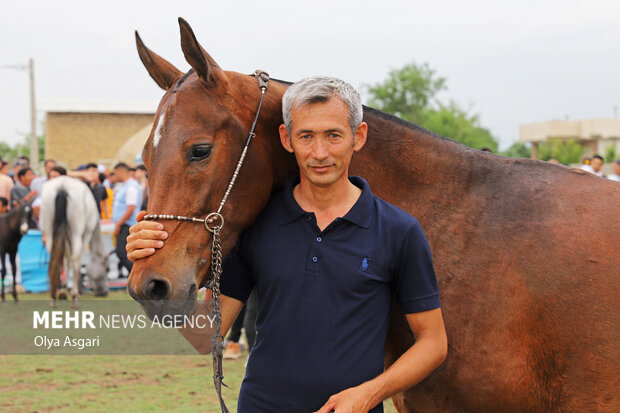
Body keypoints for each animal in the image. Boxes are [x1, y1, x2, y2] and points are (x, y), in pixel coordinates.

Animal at [40, 175, 109, 306]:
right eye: (107, 269)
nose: (103, 293)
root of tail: (62, 187)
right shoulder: (85, 234)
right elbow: (75, 261)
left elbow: (65, 261)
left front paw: (63, 290)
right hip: (77, 233)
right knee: (75, 258)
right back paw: (74, 296)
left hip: (49, 230)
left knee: (56, 259)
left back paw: (54, 296)